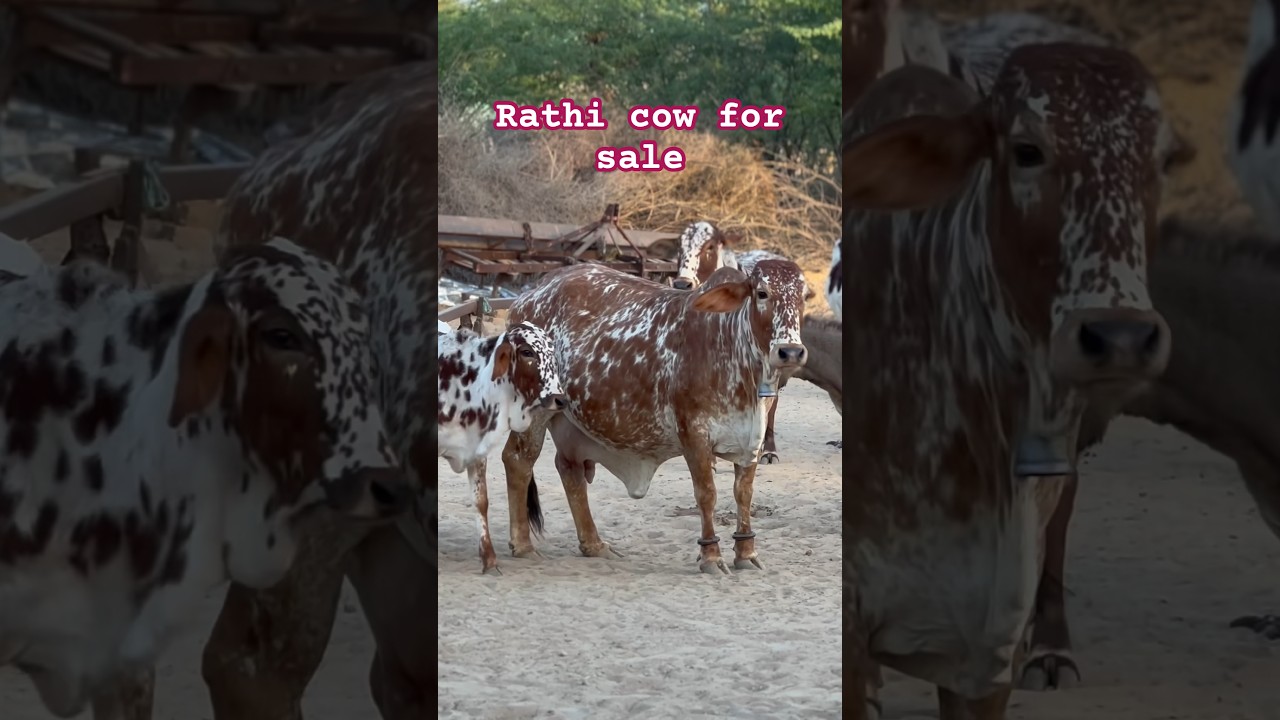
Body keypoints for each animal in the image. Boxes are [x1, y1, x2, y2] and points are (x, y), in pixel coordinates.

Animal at [437, 321, 565, 573]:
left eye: (552, 351)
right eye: (527, 352)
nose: (559, 398)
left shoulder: (477, 450)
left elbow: (481, 502)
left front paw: (489, 560)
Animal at [501, 261, 807, 574]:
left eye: (804, 296)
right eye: (762, 293)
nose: (790, 351)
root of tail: (533, 291)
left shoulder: (752, 440)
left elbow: (743, 493)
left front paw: (745, 553)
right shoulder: (693, 433)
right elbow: (706, 493)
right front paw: (711, 556)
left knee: (569, 468)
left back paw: (594, 544)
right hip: (536, 411)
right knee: (518, 460)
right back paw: (523, 545)